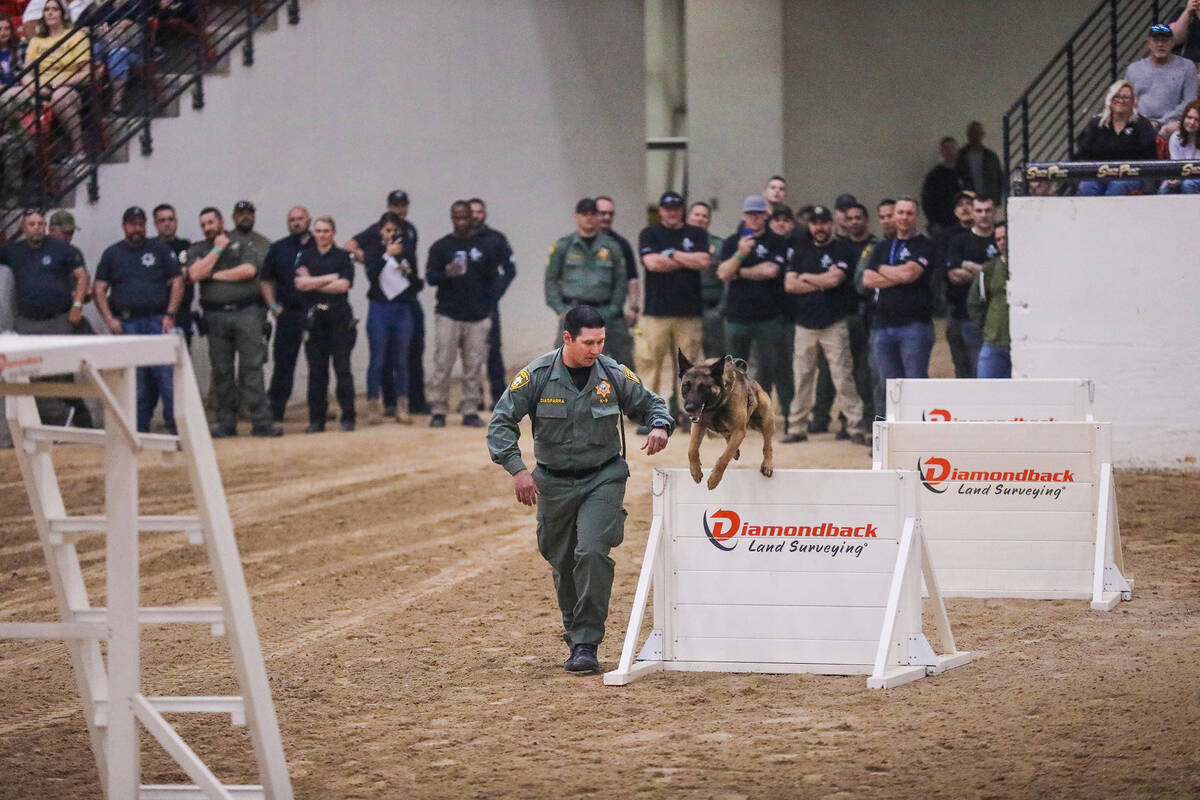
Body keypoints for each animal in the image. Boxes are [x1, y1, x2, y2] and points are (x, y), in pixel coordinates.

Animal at [676, 347, 777, 489]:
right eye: (686, 386)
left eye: (703, 387)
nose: (689, 408)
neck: (716, 406)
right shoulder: (698, 426)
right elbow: (692, 450)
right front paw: (695, 471)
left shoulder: (739, 431)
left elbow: (723, 457)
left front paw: (714, 479)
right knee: (727, 436)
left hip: (765, 418)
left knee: (767, 444)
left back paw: (767, 464)